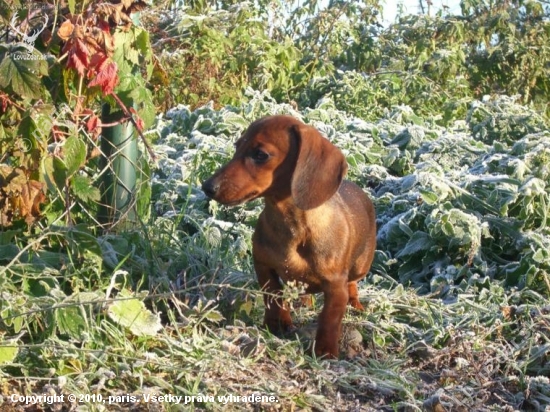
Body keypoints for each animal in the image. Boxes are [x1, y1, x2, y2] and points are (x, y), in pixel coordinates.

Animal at [204, 115, 380, 358]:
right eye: (237, 146)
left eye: (260, 155)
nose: (207, 187)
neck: (293, 228)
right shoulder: (264, 266)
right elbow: (273, 296)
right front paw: (275, 324)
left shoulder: (335, 287)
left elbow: (329, 318)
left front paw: (326, 351)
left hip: (361, 266)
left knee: (353, 283)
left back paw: (355, 303)